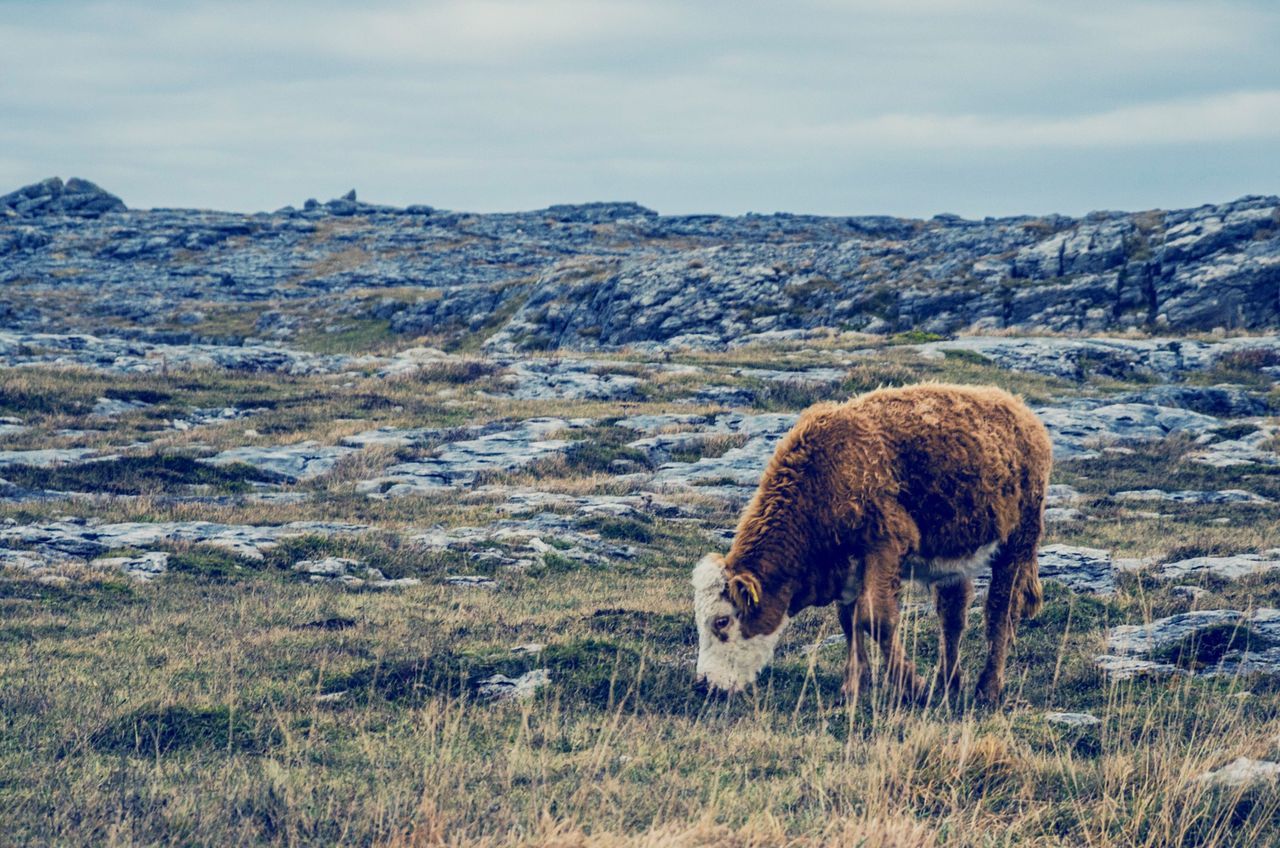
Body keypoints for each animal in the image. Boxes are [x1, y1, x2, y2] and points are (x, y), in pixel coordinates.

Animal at [696, 381, 1054, 707]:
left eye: (722, 621)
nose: (705, 685)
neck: (825, 478)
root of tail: (1017, 407)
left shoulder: (885, 543)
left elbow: (876, 619)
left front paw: (911, 686)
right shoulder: (849, 566)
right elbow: (849, 619)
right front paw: (855, 686)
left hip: (1018, 543)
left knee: (1000, 612)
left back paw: (987, 689)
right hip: (955, 556)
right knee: (952, 615)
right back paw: (948, 683)